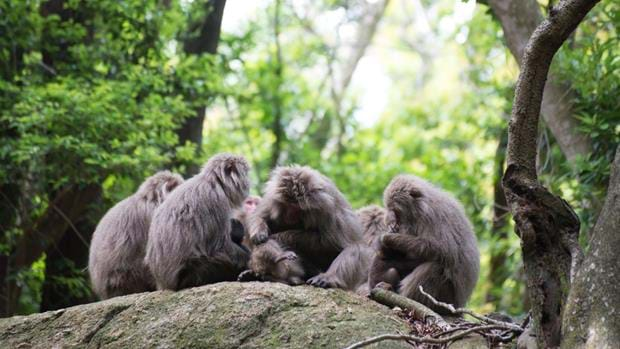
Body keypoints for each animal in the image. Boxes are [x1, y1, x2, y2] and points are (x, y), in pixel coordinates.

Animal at [144, 154, 251, 290]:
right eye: (246, 174)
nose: (249, 182)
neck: (214, 182)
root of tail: (166, 284)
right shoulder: (215, 200)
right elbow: (220, 246)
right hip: (192, 276)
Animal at [368, 174, 480, 312]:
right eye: (390, 210)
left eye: (396, 210)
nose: (393, 222)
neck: (419, 207)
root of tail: (458, 305)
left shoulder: (430, 216)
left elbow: (439, 250)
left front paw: (387, 238)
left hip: (446, 297)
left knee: (434, 267)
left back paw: (404, 298)